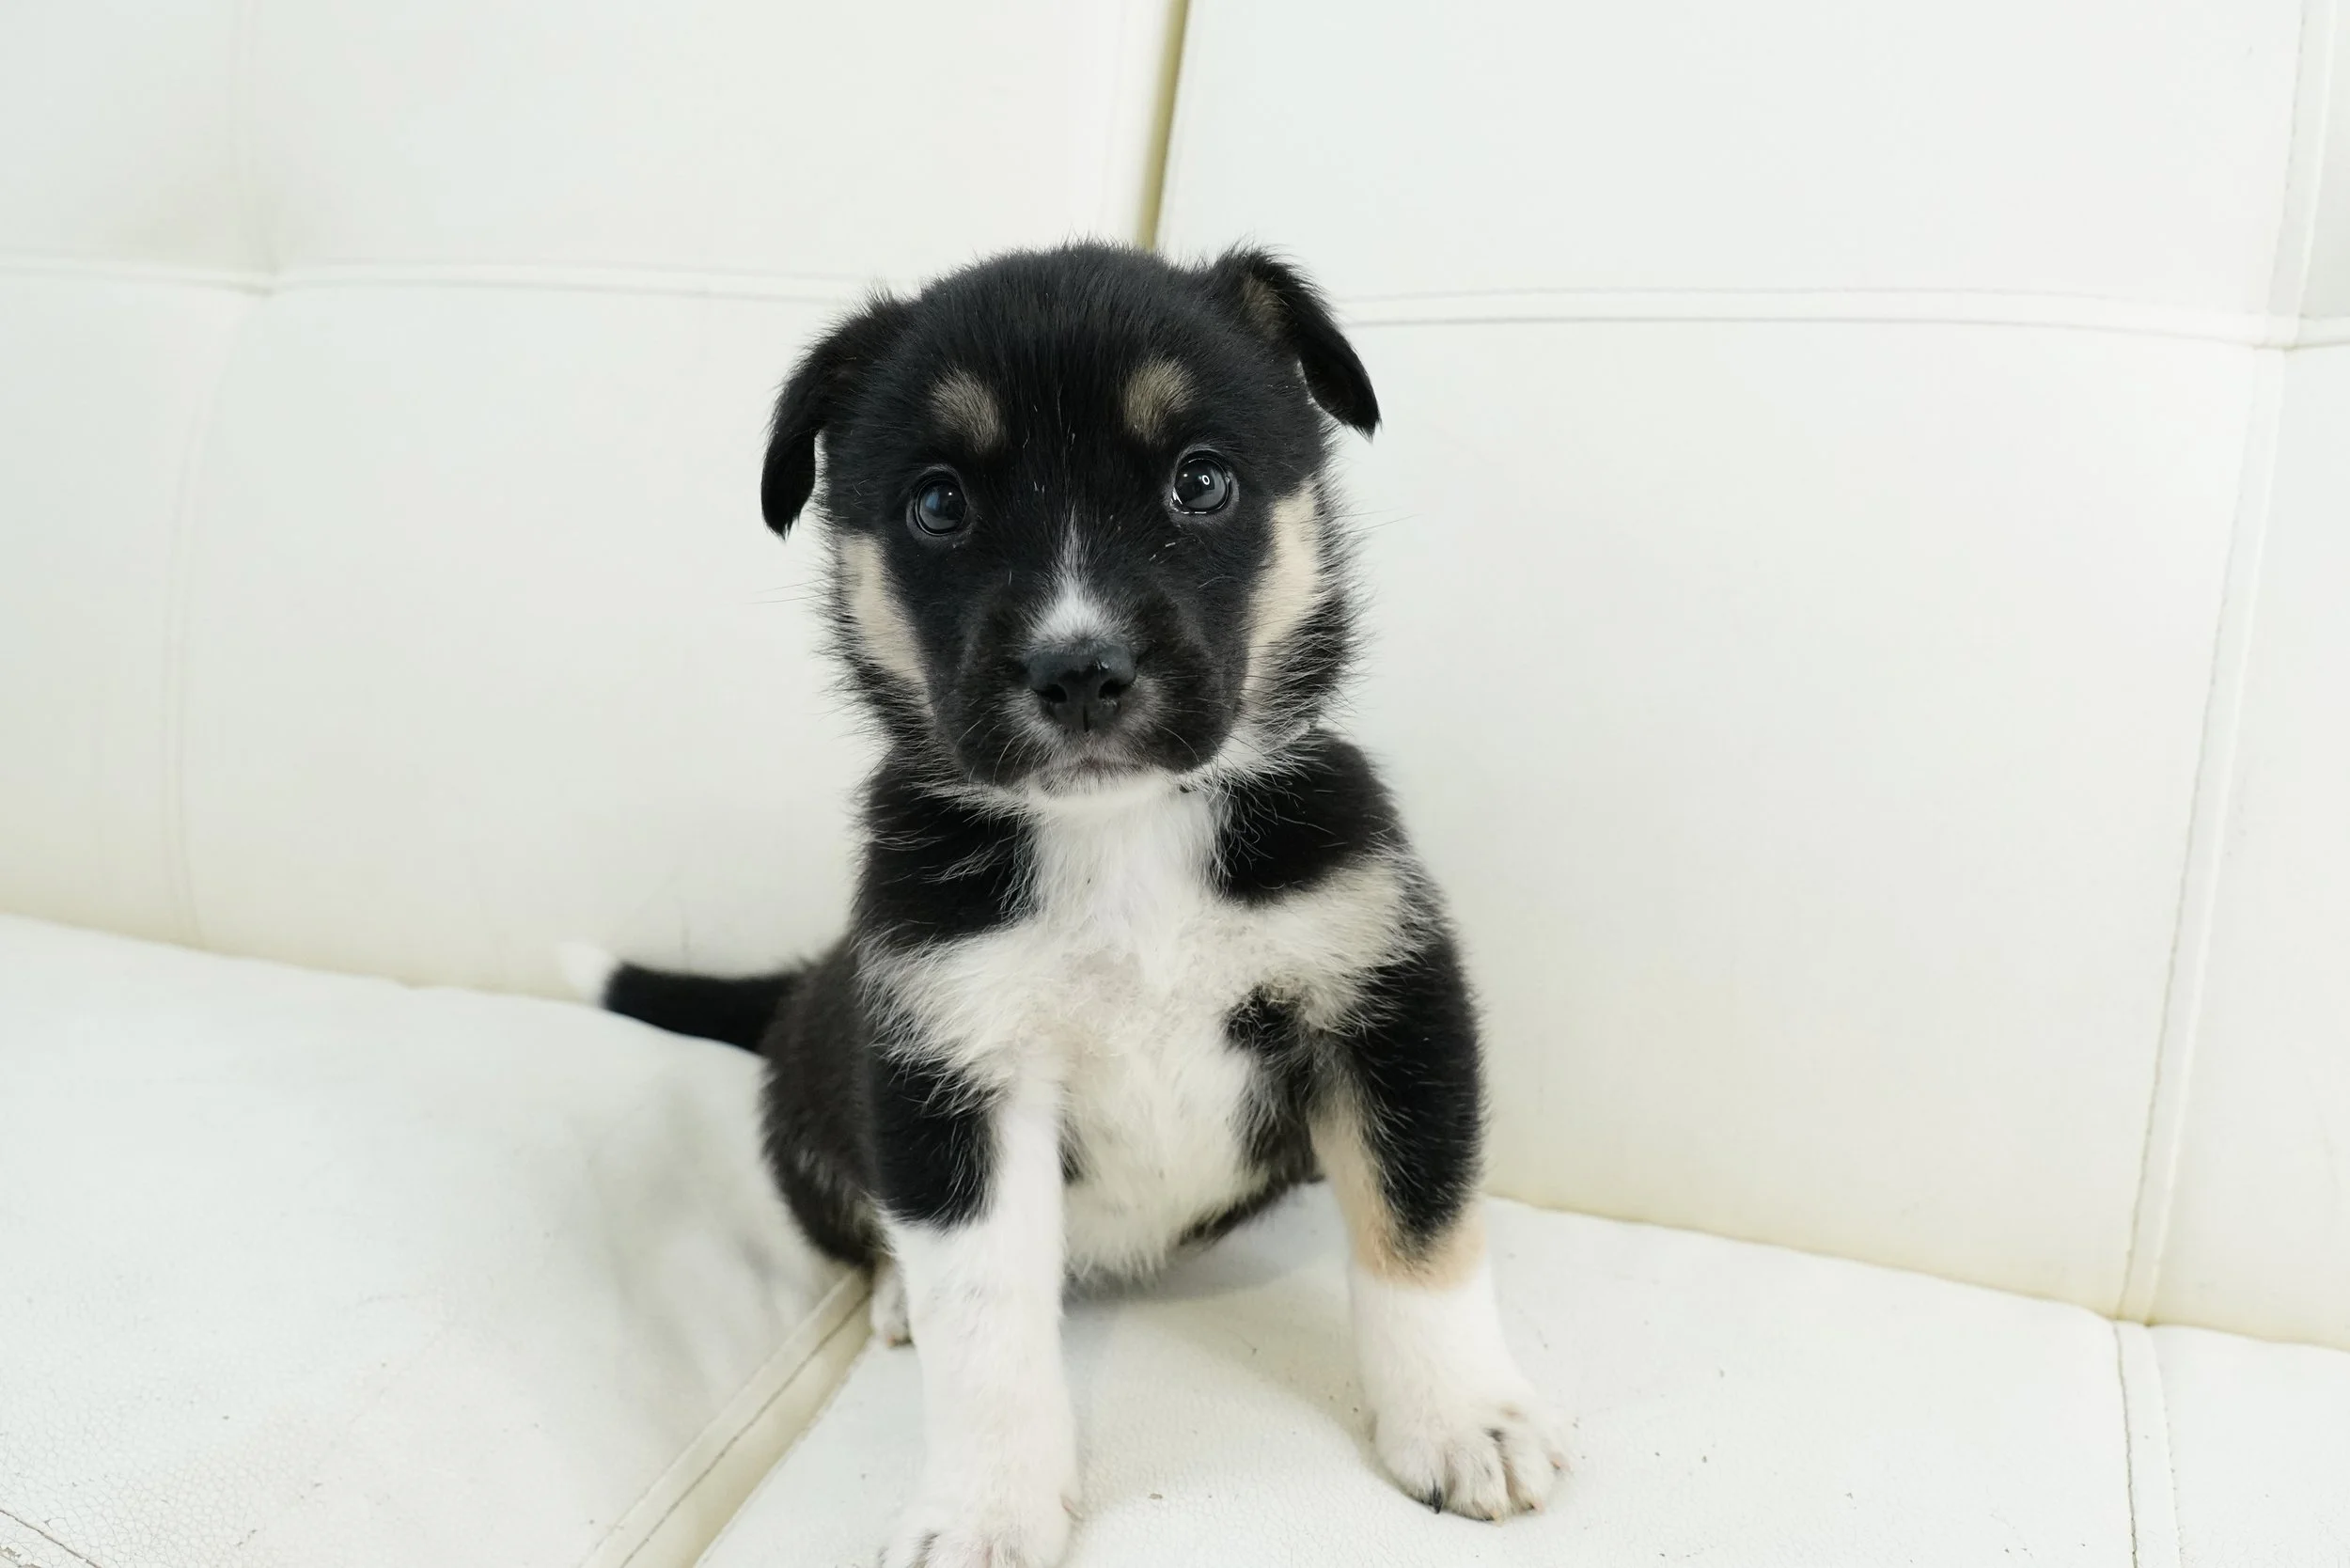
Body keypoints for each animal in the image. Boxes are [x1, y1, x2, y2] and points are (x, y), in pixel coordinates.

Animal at [568, 243, 1564, 1567]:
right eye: (939, 504)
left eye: (1201, 481)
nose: (1080, 672)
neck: (1122, 838)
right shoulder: (952, 1078)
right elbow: (983, 1322)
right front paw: (986, 1510)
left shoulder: (1387, 1004)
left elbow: (1420, 1237)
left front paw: (1464, 1426)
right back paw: (891, 1296)